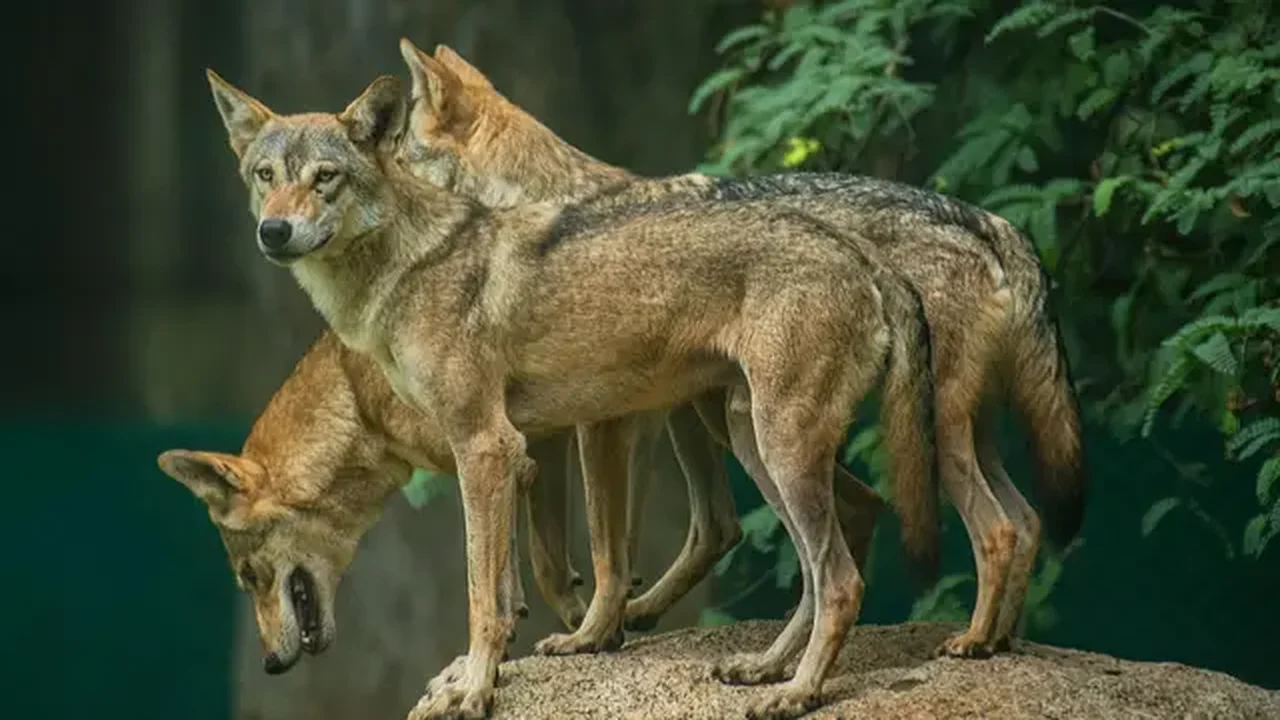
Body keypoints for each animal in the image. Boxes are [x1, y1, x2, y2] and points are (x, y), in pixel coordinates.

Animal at [206, 71, 938, 720]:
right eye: (265, 177)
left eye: (323, 178)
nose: (274, 232)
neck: (403, 272)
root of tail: (860, 252)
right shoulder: (516, 454)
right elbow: (512, 590)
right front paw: (491, 673)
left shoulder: (488, 447)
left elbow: (487, 596)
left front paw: (474, 690)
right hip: (752, 444)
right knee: (816, 570)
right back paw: (765, 669)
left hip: (775, 449)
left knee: (840, 581)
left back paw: (798, 694)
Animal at [400, 39, 1088, 658]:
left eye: (395, 152)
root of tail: (989, 222)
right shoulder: (564, 429)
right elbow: (551, 556)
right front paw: (576, 622)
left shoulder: (604, 428)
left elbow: (603, 551)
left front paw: (588, 633)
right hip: (752, 421)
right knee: (1019, 520)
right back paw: (993, 639)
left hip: (882, 433)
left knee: (994, 528)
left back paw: (967, 641)